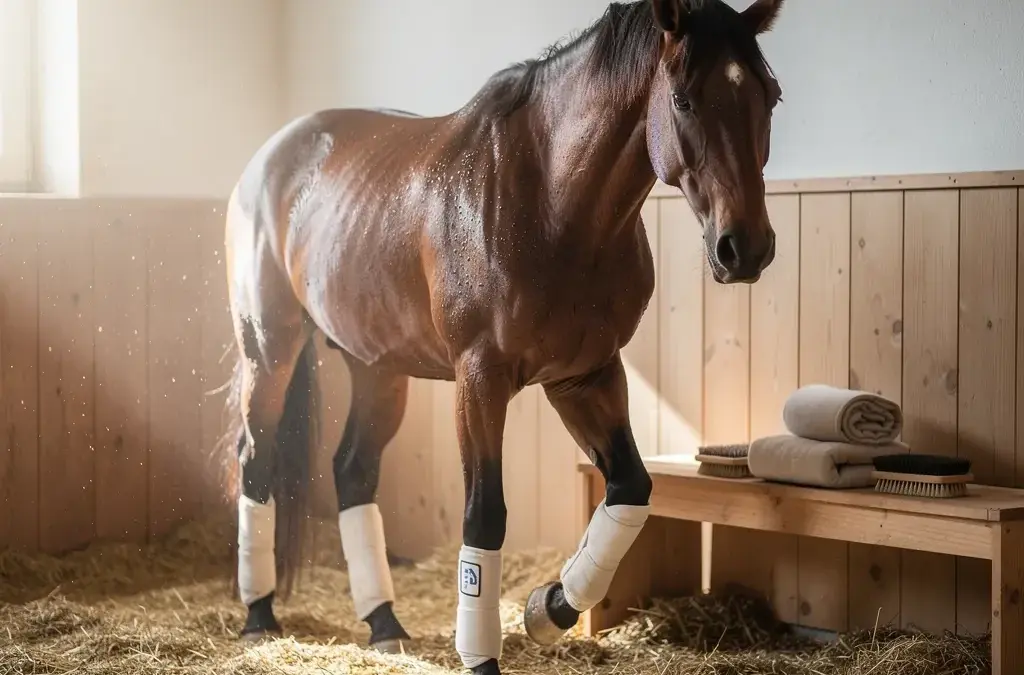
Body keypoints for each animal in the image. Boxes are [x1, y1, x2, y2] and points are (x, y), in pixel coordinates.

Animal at [216, 0, 785, 672]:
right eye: (684, 99)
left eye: (770, 95)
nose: (744, 248)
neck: (552, 203)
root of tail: (268, 159)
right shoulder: (480, 380)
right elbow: (484, 516)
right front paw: (485, 653)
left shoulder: (585, 376)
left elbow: (631, 489)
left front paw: (548, 608)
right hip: (270, 350)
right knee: (256, 460)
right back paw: (259, 615)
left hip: (377, 367)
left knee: (353, 470)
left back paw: (383, 622)